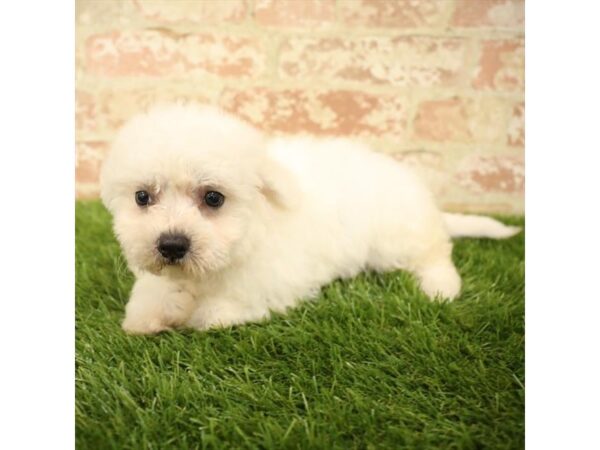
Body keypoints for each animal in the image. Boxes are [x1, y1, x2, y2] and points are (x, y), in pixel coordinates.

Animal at [99, 104, 520, 334]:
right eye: (142, 197)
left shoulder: (273, 281)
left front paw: (198, 314)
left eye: (213, 198)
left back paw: (440, 287)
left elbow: (222, 308)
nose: (171, 244)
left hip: (399, 238)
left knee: (436, 256)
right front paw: (148, 316)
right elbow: (151, 295)